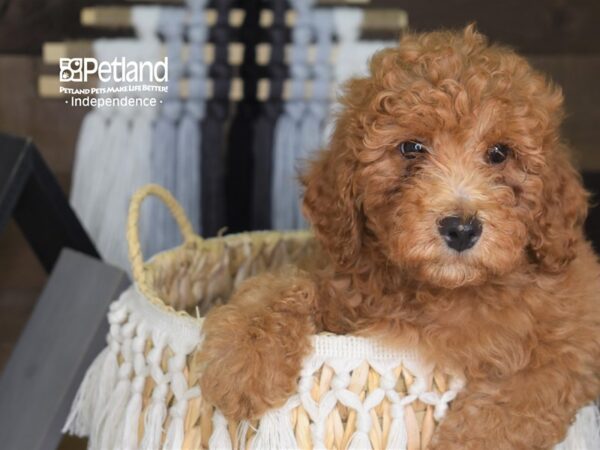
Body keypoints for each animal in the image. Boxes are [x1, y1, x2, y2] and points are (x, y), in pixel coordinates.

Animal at [199, 26, 600, 448]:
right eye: (411, 148)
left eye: (499, 153)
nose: (461, 229)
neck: (439, 290)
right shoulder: (343, 282)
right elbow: (281, 285)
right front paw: (243, 360)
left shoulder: (574, 342)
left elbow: (527, 390)